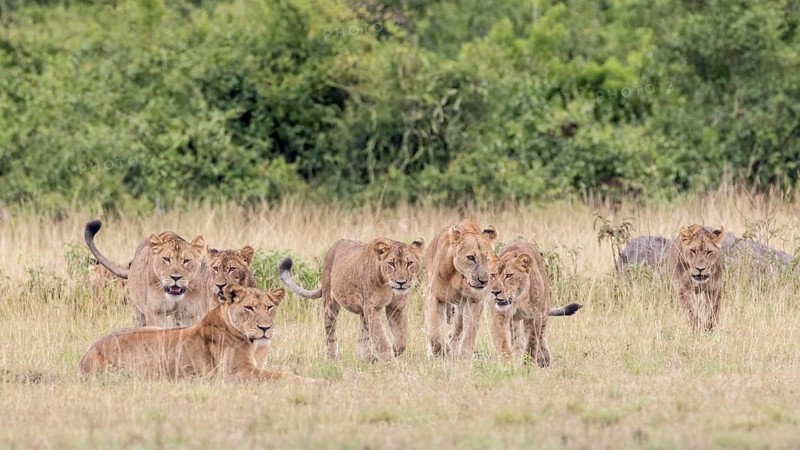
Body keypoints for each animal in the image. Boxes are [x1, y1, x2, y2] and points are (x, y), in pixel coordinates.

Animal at [80, 284, 314, 382]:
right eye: (249, 308)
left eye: (269, 307)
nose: (265, 328)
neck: (255, 345)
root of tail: (87, 354)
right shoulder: (237, 373)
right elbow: (281, 375)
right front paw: (315, 383)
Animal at [279, 237, 424, 362]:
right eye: (391, 264)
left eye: (409, 263)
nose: (401, 282)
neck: (388, 286)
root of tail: (332, 247)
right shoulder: (372, 307)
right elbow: (381, 337)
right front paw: (389, 361)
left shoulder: (396, 308)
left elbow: (401, 339)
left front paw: (393, 351)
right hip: (330, 303)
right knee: (330, 333)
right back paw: (331, 358)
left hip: (363, 312)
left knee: (362, 336)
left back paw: (368, 358)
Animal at [424, 219, 498, 358]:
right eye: (471, 257)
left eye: (487, 258)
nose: (484, 281)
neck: (460, 277)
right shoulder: (435, 297)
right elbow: (434, 332)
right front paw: (439, 351)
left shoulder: (474, 301)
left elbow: (470, 333)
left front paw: (464, 356)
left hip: (461, 308)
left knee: (457, 330)